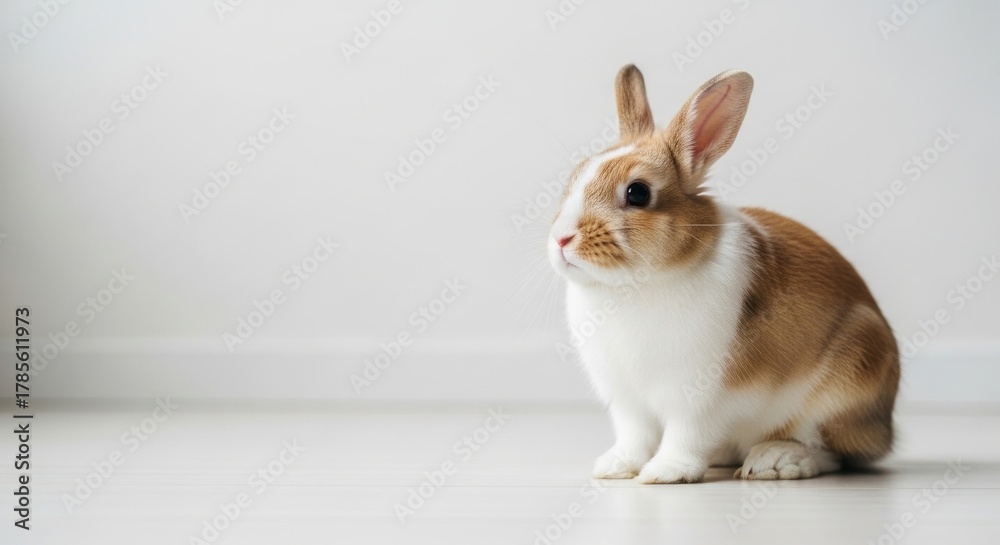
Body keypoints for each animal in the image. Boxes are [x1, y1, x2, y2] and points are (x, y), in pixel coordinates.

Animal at [548, 65, 899, 483]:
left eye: (637, 193)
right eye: (574, 177)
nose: (561, 238)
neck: (635, 285)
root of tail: (883, 429)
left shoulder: (698, 395)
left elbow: (685, 435)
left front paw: (664, 473)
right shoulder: (628, 402)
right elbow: (635, 436)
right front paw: (615, 467)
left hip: (847, 381)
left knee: (830, 451)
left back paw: (774, 461)